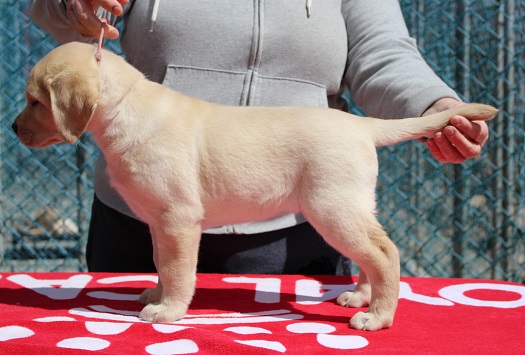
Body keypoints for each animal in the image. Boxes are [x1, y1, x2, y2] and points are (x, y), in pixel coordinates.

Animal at [12, 42, 496, 330]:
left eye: (36, 101)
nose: (15, 130)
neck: (126, 108)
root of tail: (361, 125)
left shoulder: (178, 219)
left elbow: (177, 269)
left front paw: (168, 311)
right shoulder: (158, 222)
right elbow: (159, 263)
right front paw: (156, 294)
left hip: (332, 207)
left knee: (385, 253)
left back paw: (378, 317)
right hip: (352, 208)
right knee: (371, 254)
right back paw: (361, 297)